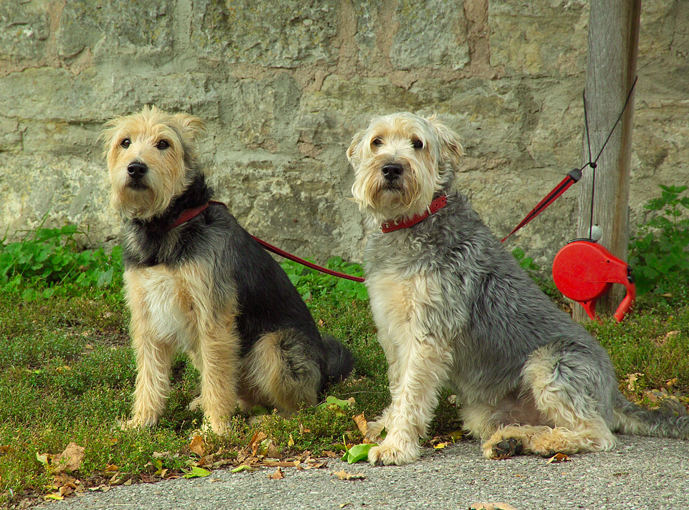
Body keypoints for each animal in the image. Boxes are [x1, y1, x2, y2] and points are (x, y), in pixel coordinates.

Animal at [350, 112, 688, 466]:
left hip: (548, 364)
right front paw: (384, 426)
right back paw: (511, 441)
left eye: (418, 143)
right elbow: (399, 386)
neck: (412, 223)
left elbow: (412, 393)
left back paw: (546, 443)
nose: (391, 168)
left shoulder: (428, 333)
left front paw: (396, 445)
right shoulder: (393, 331)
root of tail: (612, 393)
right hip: (484, 411)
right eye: (377, 142)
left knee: (597, 433)